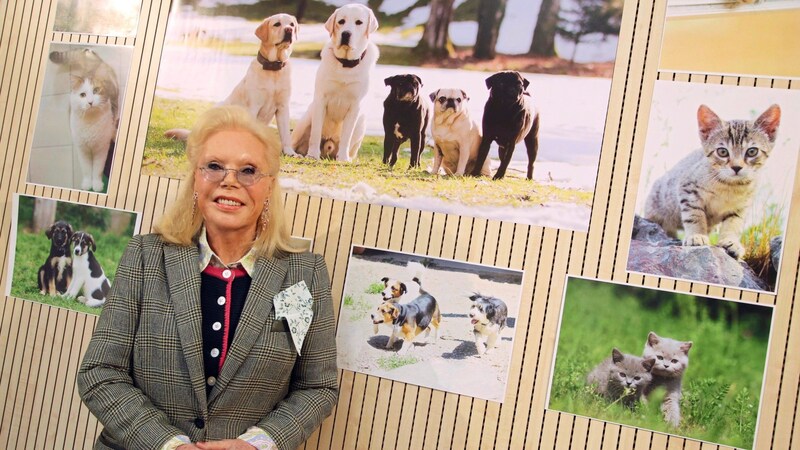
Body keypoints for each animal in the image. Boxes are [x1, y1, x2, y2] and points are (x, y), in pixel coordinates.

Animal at [644, 104, 780, 260]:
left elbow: (733, 223)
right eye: (722, 152)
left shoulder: (741, 207)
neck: (729, 186)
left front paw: (730, 241)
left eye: (752, 151)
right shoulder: (687, 189)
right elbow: (694, 215)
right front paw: (696, 235)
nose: (736, 167)